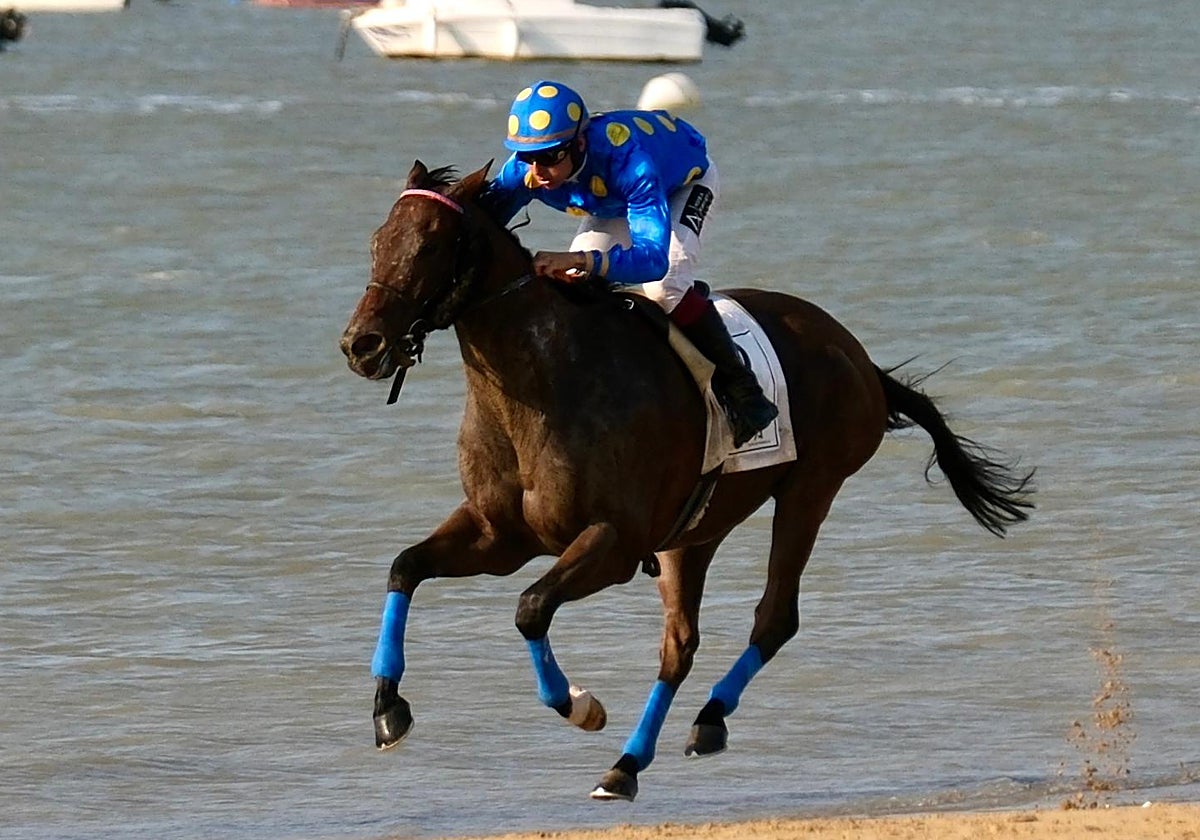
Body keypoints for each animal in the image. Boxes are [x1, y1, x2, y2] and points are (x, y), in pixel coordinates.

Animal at [338, 160, 1035, 802]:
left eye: (429, 245)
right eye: (376, 240)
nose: (361, 344)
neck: (541, 384)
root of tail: (859, 357)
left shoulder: (614, 542)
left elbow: (530, 608)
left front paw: (580, 704)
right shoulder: (498, 535)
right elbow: (405, 567)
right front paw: (387, 709)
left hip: (811, 489)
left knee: (773, 618)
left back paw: (706, 720)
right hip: (695, 531)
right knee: (680, 644)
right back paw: (628, 765)